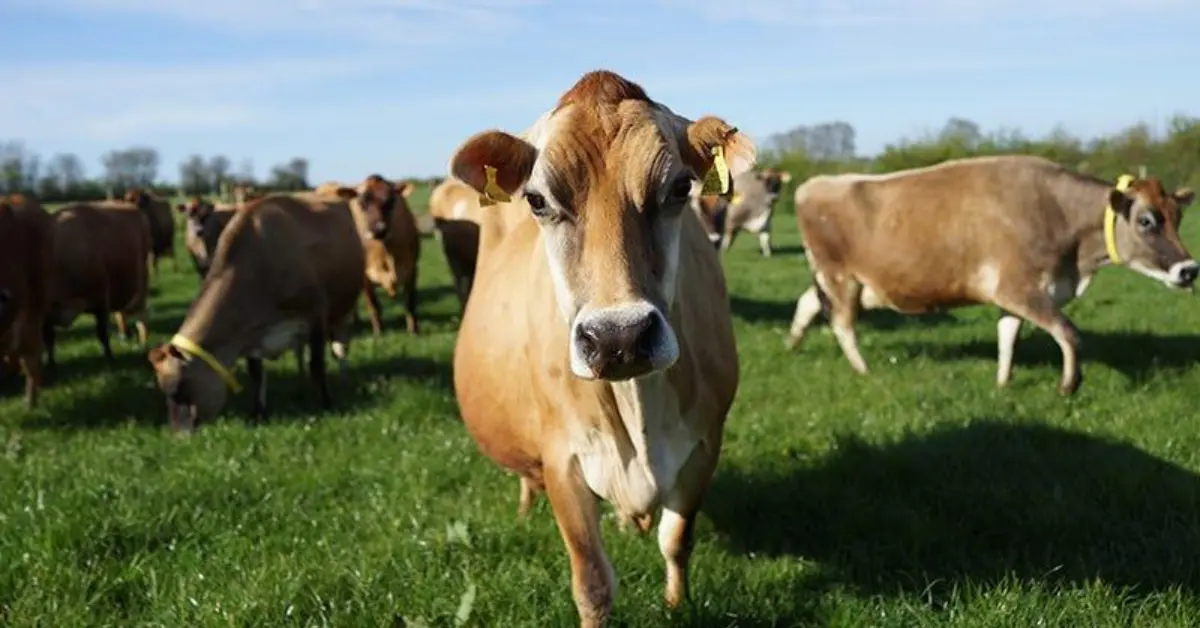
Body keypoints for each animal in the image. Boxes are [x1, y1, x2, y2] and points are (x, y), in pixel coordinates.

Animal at [146, 192, 366, 432]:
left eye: (179, 387)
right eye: (164, 391)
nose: (179, 435)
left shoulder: (316, 314)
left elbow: (317, 366)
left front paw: (327, 403)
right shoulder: (251, 334)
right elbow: (256, 376)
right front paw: (258, 414)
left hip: (342, 308)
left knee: (340, 347)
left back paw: (343, 378)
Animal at [445, 69, 755, 627]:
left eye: (681, 187)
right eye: (537, 200)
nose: (620, 337)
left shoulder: (704, 443)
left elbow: (676, 539)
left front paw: (675, 603)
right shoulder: (562, 459)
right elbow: (591, 582)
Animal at [784, 154, 1198, 395]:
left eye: (1177, 217)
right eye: (1146, 221)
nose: (1189, 270)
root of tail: (814, 184)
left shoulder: (1015, 295)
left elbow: (1008, 338)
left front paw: (1002, 383)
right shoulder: (1019, 288)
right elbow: (1068, 332)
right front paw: (1069, 385)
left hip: (832, 280)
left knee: (807, 303)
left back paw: (791, 347)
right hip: (841, 277)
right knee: (842, 325)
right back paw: (864, 371)